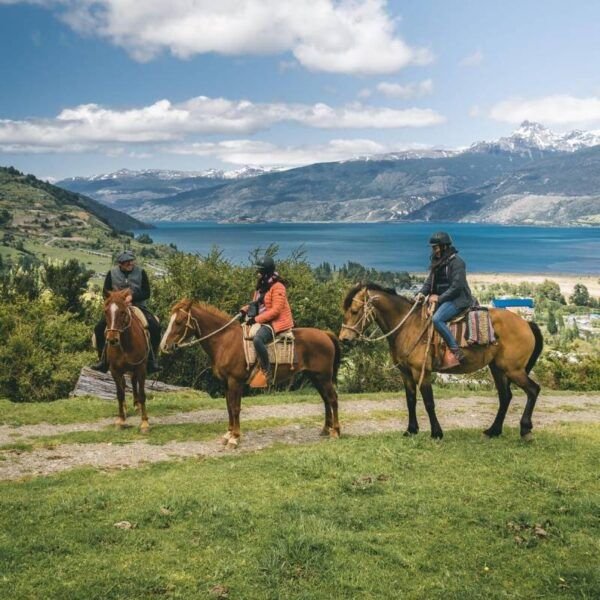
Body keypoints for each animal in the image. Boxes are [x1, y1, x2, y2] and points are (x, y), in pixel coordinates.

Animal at [103, 290, 150, 432]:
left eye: (123, 312)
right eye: (106, 311)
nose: (112, 339)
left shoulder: (141, 368)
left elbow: (142, 393)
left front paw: (144, 423)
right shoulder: (115, 370)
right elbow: (120, 394)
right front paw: (120, 420)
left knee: (134, 383)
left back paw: (137, 406)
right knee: (124, 385)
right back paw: (125, 409)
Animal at [159, 298, 340, 448]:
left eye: (179, 322)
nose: (164, 346)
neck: (225, 341)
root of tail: (325, 334)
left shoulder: (235, 381)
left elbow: (235, 408)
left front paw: (234, 438)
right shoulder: (226, 383)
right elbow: (228, 407)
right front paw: (228, 435)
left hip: (324, 377)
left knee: (332, 399)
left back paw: (336, 432)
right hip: (315, 377)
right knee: (325, 400)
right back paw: (325, 429)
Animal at [338, 282, 544, 440]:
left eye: (355, 311)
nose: (344, 339)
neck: (407, 326)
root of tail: (526, 323)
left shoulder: (422, 371)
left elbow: (429, 402)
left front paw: (436, 433)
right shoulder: (405, 373)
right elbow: (410, 400)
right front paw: (411, 430)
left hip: (513, 369)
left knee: (533, 390)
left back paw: (525, 430)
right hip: (498, 368)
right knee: (505, 397)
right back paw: (494, 431)